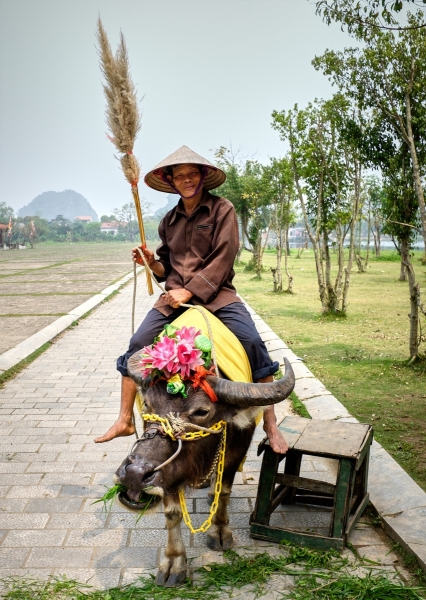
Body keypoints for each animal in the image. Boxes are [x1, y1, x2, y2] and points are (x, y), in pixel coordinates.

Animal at [115, 352, 294, 584]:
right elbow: (172, 513)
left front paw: (219, 530)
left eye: (201, 411)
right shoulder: (170, 474)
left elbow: (224, 493)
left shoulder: (234, 456)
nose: (134, 474)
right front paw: (174, 562)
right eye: (147, 403)